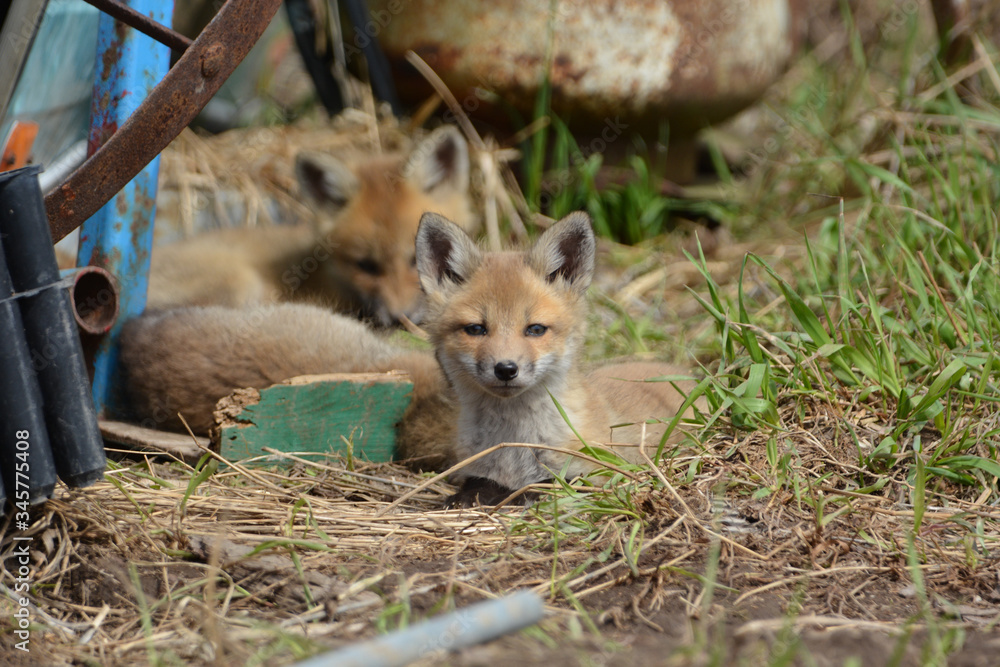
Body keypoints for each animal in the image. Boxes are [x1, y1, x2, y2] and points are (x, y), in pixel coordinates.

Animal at [118, 212, 696, 506]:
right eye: (476, 329)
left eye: (535, 330)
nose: (506, 369)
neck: (512, 447)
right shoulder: (468, 472)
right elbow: (471, 491)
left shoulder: (597, 474)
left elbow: (545, 490)